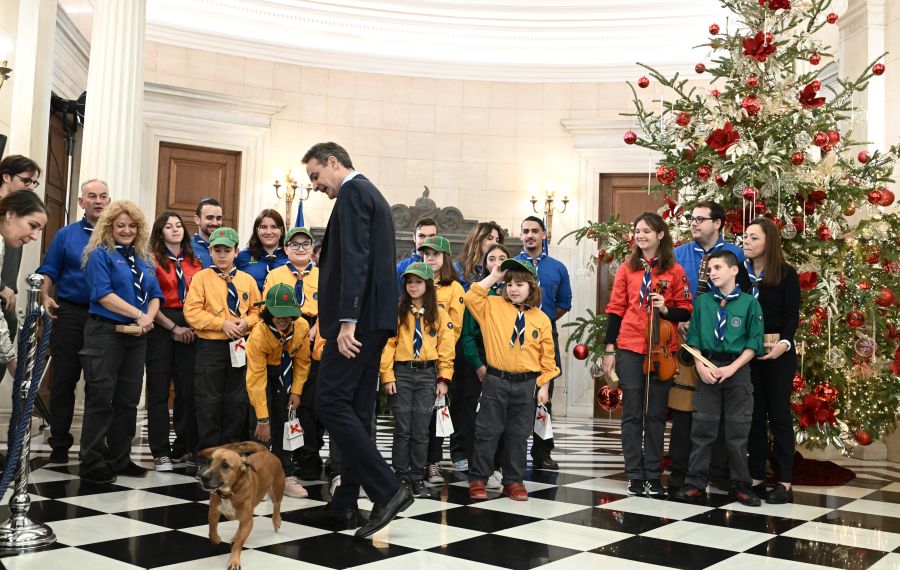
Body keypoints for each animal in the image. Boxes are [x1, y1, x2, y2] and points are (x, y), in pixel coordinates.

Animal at [197, 440, 284, 568]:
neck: (229, 493)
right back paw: (235, 535)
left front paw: (234, 561)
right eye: (209, 461)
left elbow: (239, 544)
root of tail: (266, 452)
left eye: (225, 465)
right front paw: (216, 539)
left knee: (277, 506)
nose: (203, 477)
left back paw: (276, 521)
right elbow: (212, 530)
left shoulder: (248, 522)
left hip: (277, 490)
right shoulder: (213, 512)